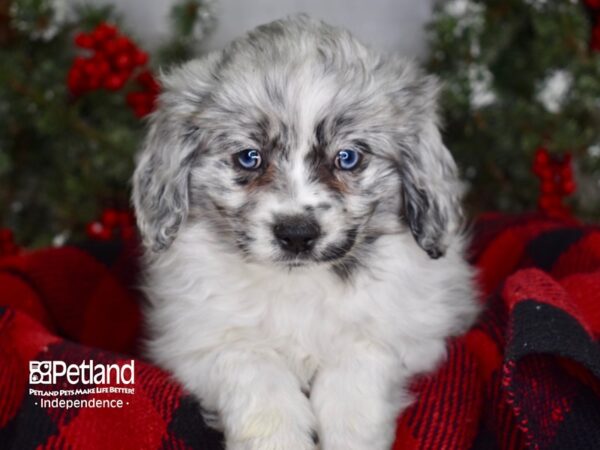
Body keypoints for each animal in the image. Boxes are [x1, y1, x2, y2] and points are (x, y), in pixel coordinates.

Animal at [132, 14, 478, 450]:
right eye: (249, 157)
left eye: (348, 158)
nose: (296, 233)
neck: (298, 286)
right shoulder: (196, 340)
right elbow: (252, 367)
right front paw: (280, 436)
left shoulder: (411, 332)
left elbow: (357, 362)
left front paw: (349, 434)